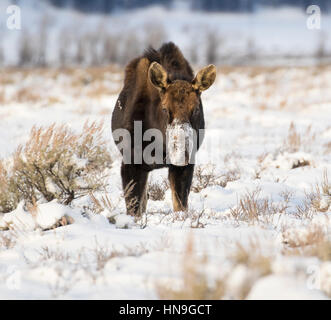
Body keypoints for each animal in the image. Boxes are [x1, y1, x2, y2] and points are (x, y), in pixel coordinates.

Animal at [113, 42, 217, 215]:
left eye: (196, 109)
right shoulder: (130, 162)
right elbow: (134, 208)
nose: (181, 153)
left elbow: (180, 205)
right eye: (164, 109)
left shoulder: (185, 165)